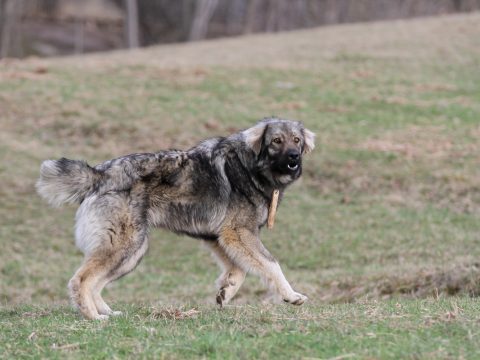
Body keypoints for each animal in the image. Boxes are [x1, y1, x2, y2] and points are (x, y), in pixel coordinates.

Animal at [36, 116, 316, 320]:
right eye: (276, 140)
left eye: (296, 140)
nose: (294, 157)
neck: (250, 166)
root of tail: (98, 174)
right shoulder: (239, 232)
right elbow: (271, 264)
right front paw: (292, 296)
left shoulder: (219, 237)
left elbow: (239, 269)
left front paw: (226, 292)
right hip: (124, 246)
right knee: (81, 280)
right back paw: (93, 317)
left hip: (132, 253)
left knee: (96, 283)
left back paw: (107, 312)